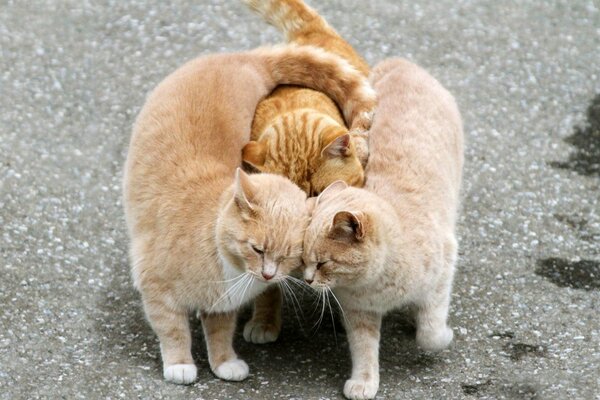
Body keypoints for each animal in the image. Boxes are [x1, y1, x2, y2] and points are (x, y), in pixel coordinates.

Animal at [122, 43, 376, 384]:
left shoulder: (221, 305)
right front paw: (179, 364)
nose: (268, 275)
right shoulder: (155, 287)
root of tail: (242, 58)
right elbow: (172, 330)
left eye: (289, 256)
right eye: (256, 249)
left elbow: (219, 331)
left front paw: (224, 362)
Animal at [300, 57, 464, 400]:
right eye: (303, 261)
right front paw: (364, 382)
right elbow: (363, 350)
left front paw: (443, 335)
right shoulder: (359, 312)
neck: (375, 285)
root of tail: (401, 63)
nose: (308, 280)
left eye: (323, 263)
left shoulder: (443, 269)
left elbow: (430, 332)